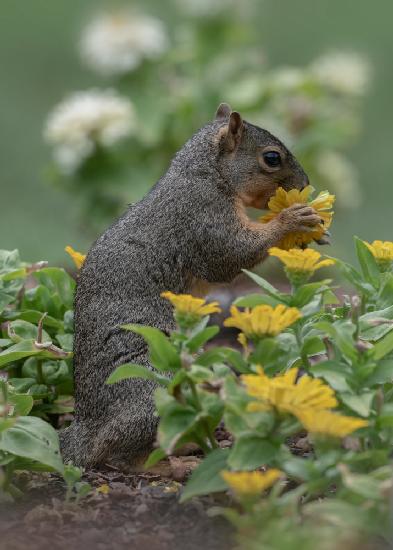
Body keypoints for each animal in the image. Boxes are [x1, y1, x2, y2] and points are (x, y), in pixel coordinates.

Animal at [59, 103, 322, 470]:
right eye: (272, 157)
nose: (306, 183)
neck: (205, 174)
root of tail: (83, 432)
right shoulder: (202, 217)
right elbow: (231, 255)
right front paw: (292, 220)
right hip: (156, 388)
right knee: (123, 457)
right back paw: (177, 465)